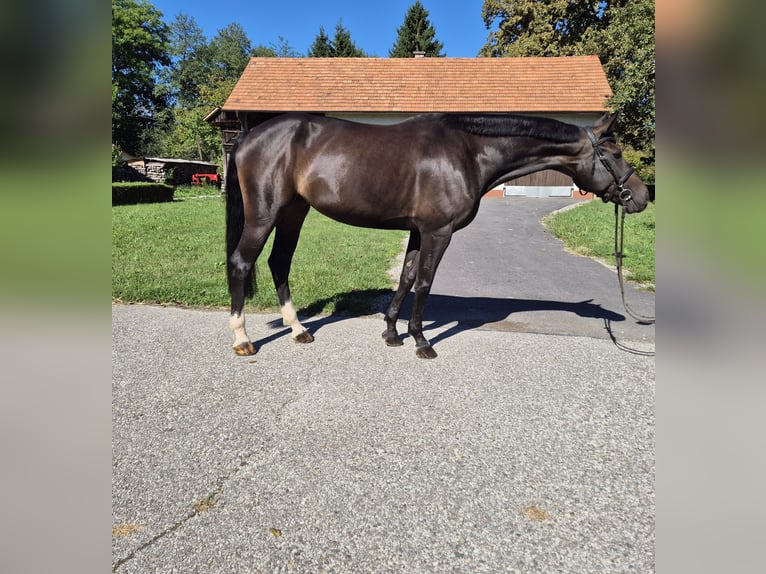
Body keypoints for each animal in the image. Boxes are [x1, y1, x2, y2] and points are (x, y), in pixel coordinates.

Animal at [225, 111, 649, 358]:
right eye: (614, 155)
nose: (642, 197)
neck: (467, 152)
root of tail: (248, 137)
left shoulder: (418, 231)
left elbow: (407, 277)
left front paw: (391, 333)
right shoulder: (438, 232)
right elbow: (425, 283)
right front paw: (421, 341)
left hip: (294, 212)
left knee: (279, 262)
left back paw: (298, 331)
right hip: (265, 213)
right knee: (241, 263)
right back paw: (243, 339)